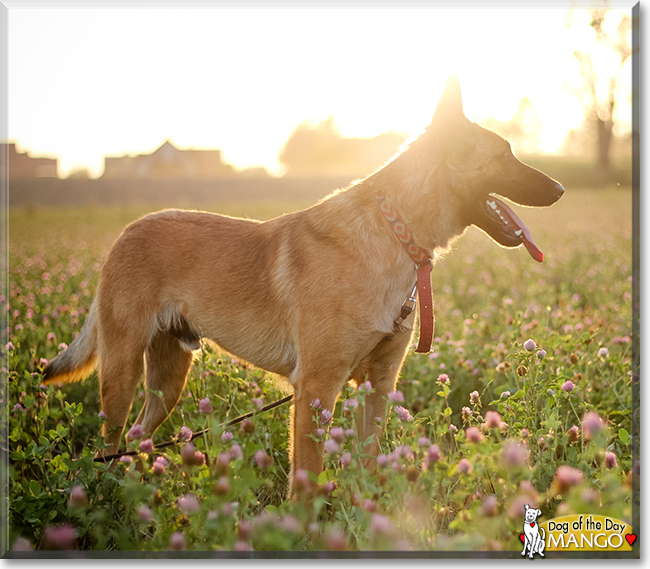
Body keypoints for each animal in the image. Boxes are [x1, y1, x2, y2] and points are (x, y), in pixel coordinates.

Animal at [43, 77, 564, 490]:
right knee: (109, 444)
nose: (560, 189)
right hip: (122, 372)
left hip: (168, 381)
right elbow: (307, 482)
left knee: (139, 439)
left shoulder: (378, 386)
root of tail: (128, 230)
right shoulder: (315, 387)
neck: (394, 230)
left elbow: (368, 465)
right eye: (505, 154)